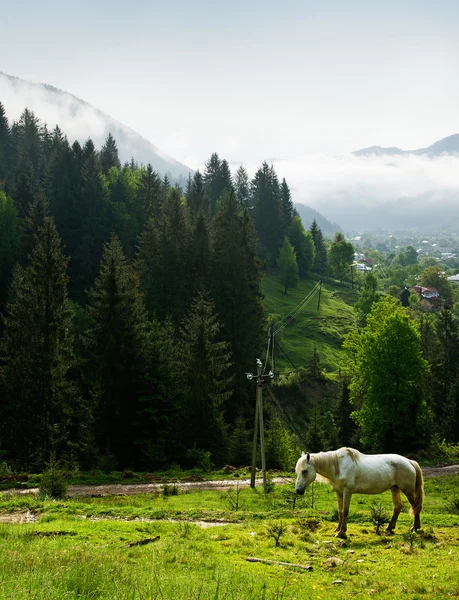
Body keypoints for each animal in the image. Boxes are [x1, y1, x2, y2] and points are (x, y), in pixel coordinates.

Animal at [296, 446, 426, 540]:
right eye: (297, 471)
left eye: (304, 471)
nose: (298, 491)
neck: (339, 466)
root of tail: (409, 461)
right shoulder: (339, 493)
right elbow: (340, 511)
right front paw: (337, 529)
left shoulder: (347, 492)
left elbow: (345, 511)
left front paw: (341, 533)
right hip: (394, 489)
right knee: (397, 507)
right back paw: (389, 528)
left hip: (408, 491)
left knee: (415, 506)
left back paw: (415, 528)